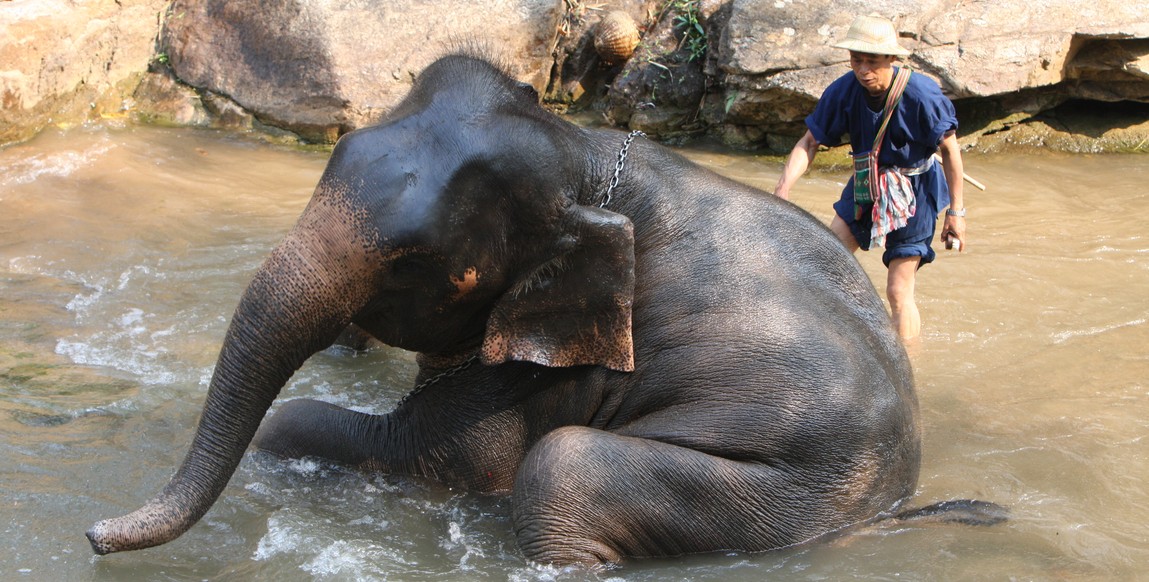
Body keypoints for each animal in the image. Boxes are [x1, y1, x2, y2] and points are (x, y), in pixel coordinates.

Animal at [89, 53, 932, 564]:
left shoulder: (545, 369)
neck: (584, 159)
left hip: (788, 494)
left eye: (422, 267)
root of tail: (891, 505)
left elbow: (438, 451)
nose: (94, 534)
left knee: (561, 471)